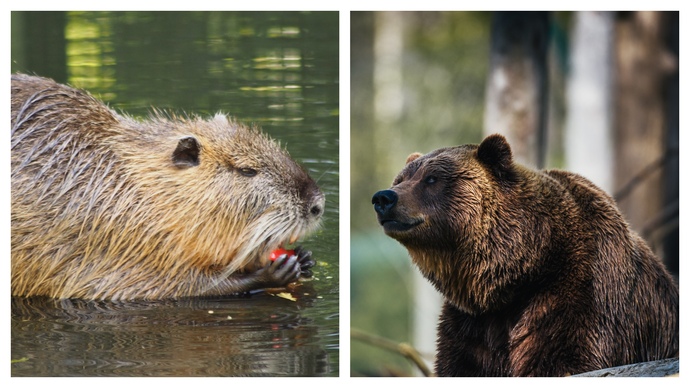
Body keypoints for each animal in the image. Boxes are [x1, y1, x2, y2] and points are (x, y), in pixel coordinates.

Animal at [370, 133, 676, 376]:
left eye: (432, 179)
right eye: (401, 178)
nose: (384, 197)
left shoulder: (580, 292)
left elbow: (562, 358)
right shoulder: (473, 323)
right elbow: (460, 363)